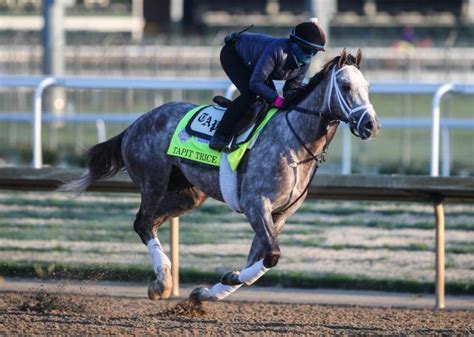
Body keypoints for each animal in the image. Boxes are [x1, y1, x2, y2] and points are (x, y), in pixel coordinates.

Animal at [63, 49, 382, 302]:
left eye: (367, 86)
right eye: (345, 85)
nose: (371, 125)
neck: (294, 143)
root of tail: (135, 124)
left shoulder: (279, 215)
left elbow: (262, 260)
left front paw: (210, 290)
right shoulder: (256, 205)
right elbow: (272, 256)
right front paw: (223, 281)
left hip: (188, 194)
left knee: (151, 223)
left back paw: (160, 281)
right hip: (153, 180)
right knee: (142, 223)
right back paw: (163, 282)